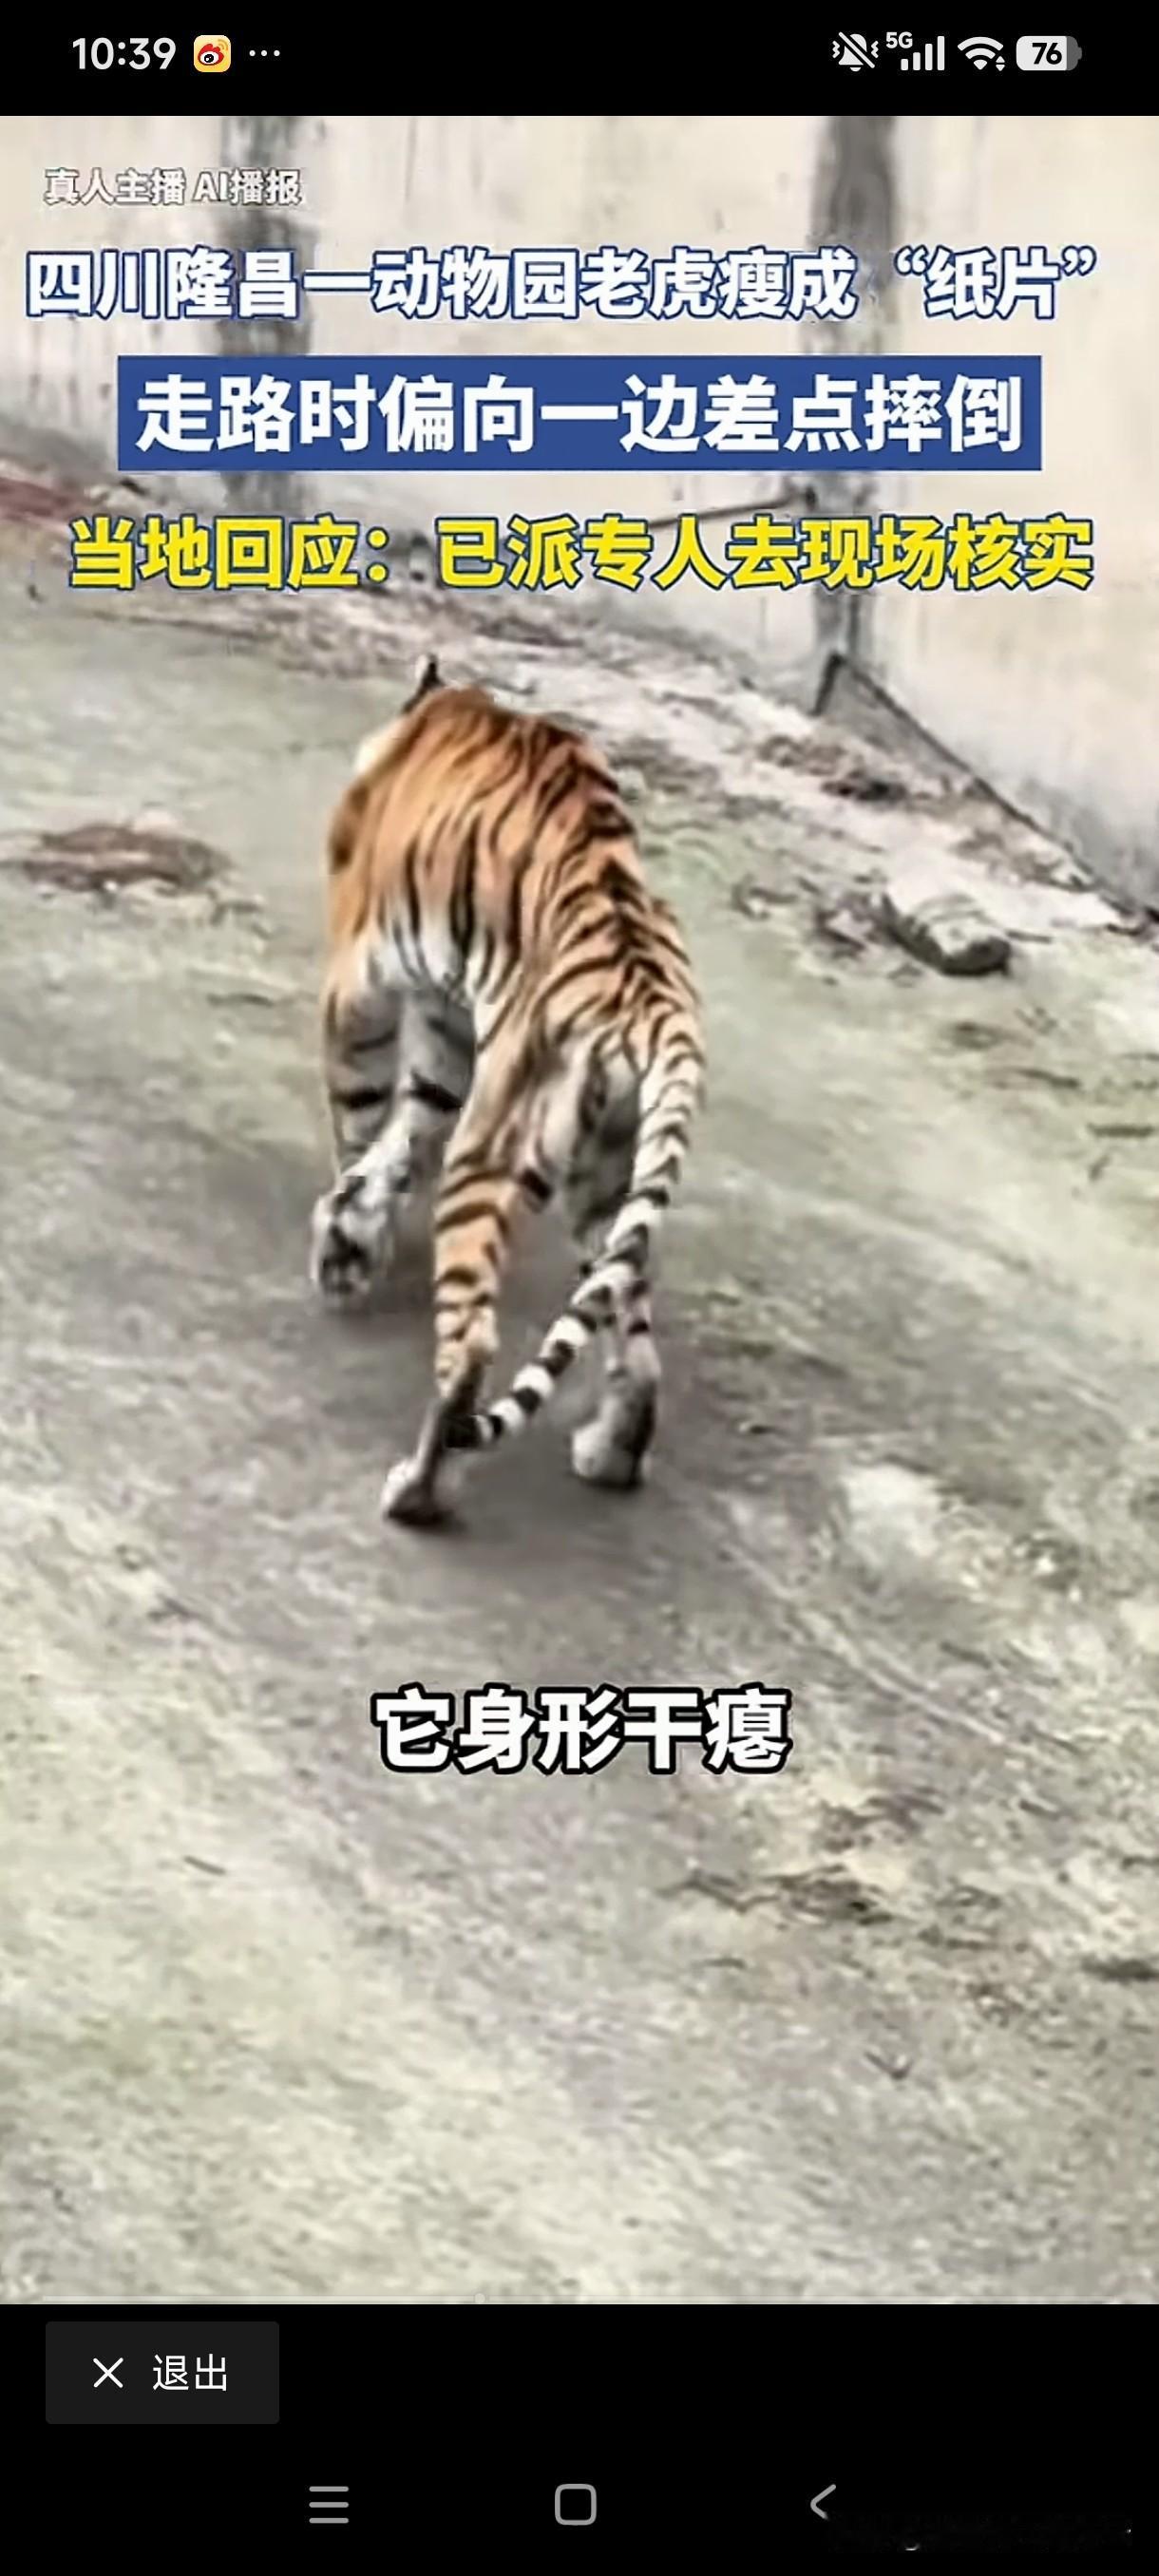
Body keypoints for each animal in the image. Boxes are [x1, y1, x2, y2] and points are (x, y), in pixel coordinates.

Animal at [308, 650, 706, 1529]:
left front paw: (347, 1240)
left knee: (472, 1349)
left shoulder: (361, 987)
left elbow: (363, 1120)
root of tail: (653, 1006)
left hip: (496, 1154)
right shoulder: (451, 1032)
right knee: (638, 1343)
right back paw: (610, 1454)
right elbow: (407, 1129)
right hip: (611, 1181)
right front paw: (357, 1222)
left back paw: (416, 1492)